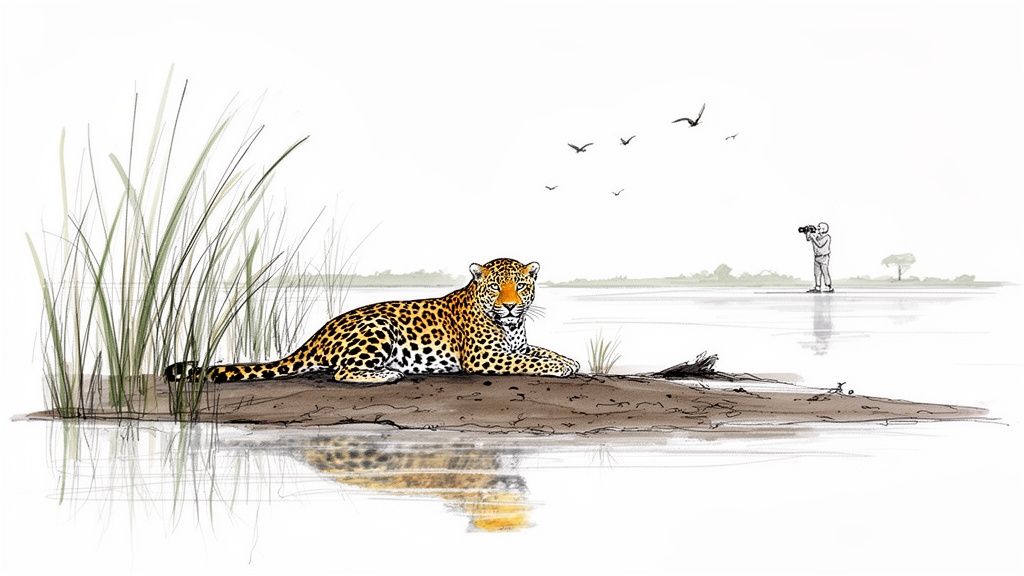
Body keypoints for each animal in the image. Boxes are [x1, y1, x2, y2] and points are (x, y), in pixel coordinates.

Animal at [165, 257, 579, 385]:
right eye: (495, 287)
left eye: (520, 286)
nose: (510, 306)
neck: (510, 326)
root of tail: (319, 333)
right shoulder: (486, 358)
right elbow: (530, 362)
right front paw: (561, 366)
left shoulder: (517, 345)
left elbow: (539, 351)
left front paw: (569, 359)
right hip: (378, 327)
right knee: (342, 372)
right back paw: (389, 373)